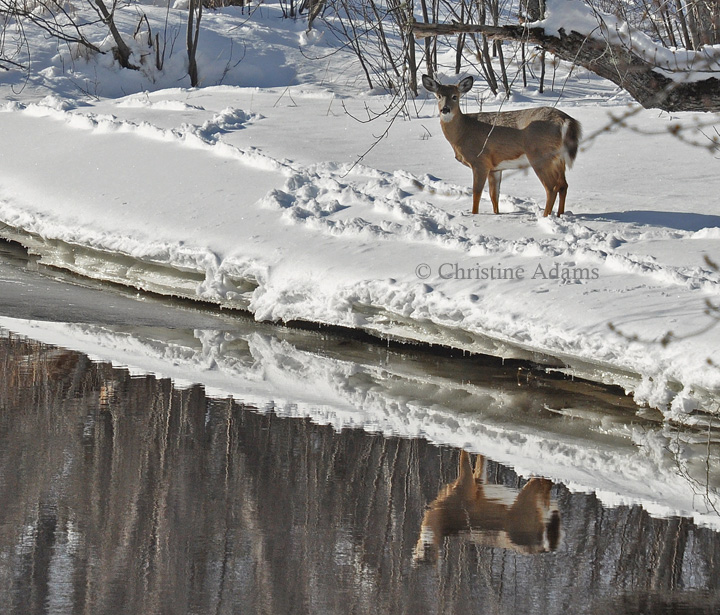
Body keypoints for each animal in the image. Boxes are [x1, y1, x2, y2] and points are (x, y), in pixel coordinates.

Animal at [413, 450, 561, 563]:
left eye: (429, 553)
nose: (425, 548)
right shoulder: (479, 483)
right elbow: (480, 465)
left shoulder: (466, 486)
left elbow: (464, 457)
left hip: (526, 503)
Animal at [422, 74, 582, 217]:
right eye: (438, 96)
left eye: (455, 96)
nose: (445, 109)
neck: (463, 132)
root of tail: (565, 119)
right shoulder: (495, 168)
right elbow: (494, 195)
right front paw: (497, 215)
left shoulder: (480, 161)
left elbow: (477, 193)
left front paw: (474, 215)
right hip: (558, 159)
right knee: (563, 185)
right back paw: (560, 215)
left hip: (540, 155)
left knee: (551, 187)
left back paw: (545, 216)